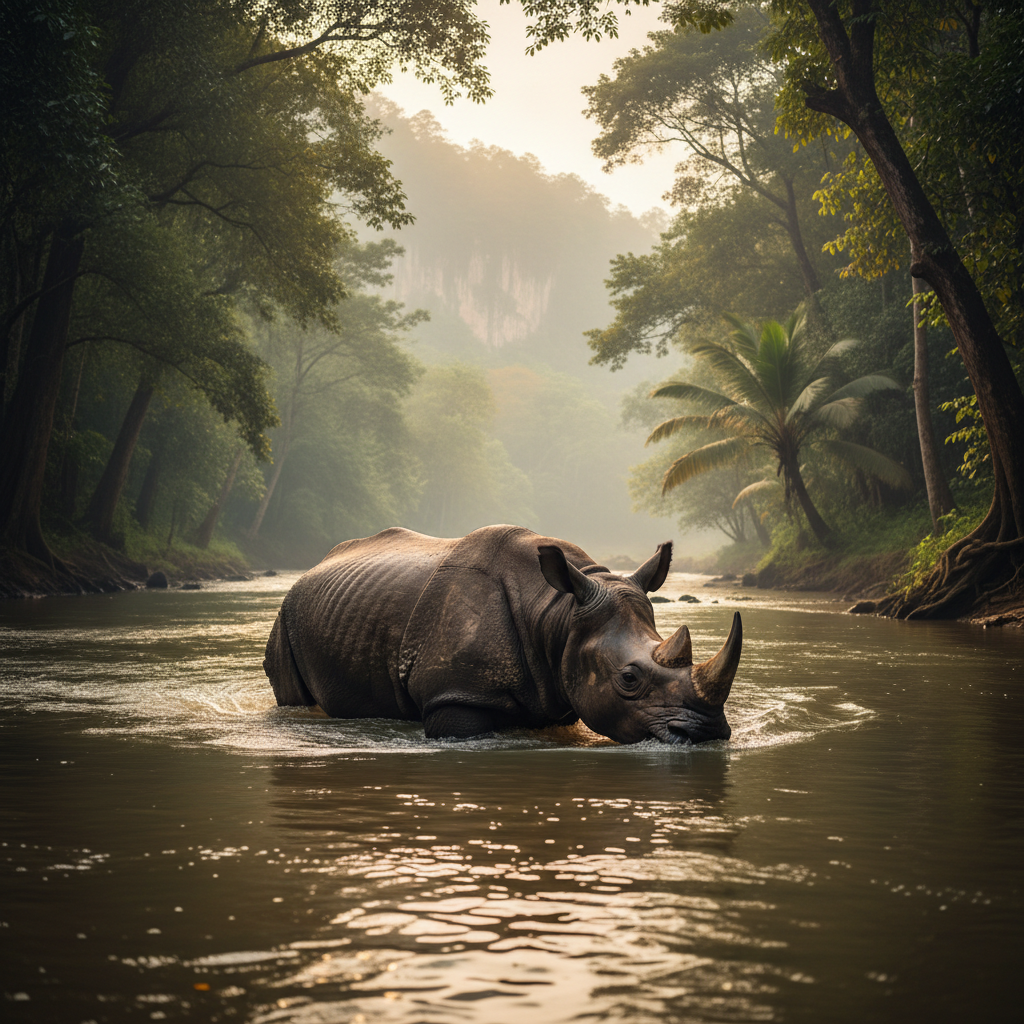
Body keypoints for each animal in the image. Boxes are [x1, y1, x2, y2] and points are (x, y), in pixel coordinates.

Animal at [263, 525, 741, 744]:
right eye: (629, 678)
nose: (707, 734)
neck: (558, 612)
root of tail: (314, 566)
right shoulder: (455, 695)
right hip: (286, 615)